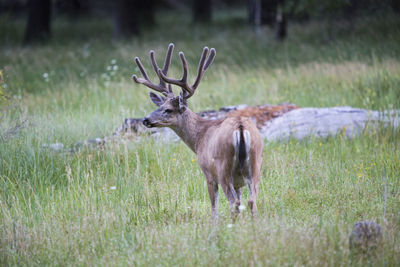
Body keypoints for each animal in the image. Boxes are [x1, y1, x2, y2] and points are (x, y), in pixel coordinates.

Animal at [133, 44, 264, 220]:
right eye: (159, 106)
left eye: (168, 110)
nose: (146, 120)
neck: (199, 138)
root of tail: (240, 127)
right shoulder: (239, 183)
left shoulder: (208, 173)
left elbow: (214, 208)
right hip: (255, 166)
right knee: (251, 201)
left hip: (223, 168)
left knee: (233, 202)